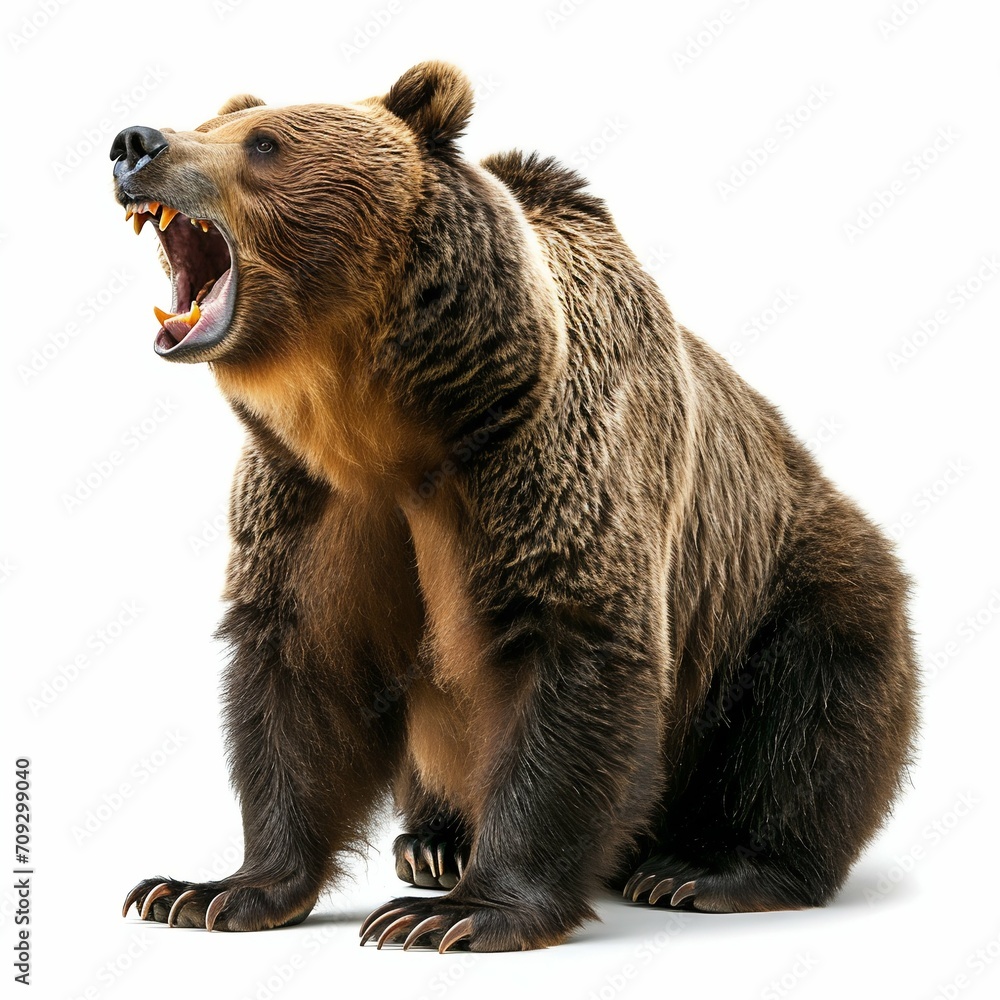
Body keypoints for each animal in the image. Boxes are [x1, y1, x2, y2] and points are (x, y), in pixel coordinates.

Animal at [110, 61, 917, 952]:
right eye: (211, 122)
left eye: (263, 143)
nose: (136, 143)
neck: (385, 426)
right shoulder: (313, 501)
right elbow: (301, 665)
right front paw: (206, 890)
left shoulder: (536, 463)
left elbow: (569, 649)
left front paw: (458, 915)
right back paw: (433, 843)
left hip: (784, 578)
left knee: (807, 709)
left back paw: (708, 869)